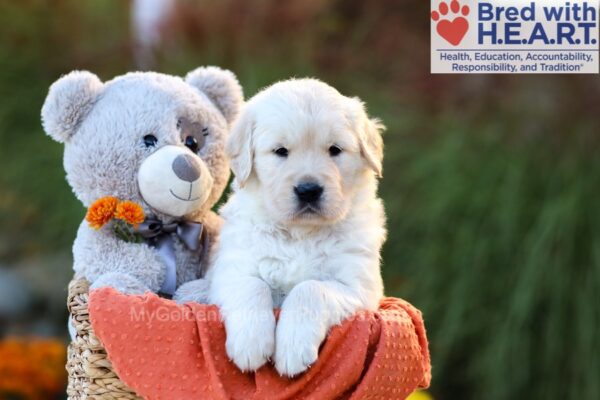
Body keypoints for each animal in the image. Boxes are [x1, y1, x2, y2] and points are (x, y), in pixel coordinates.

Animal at [207, 79, 384, 378]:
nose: (308, 190)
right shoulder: (228, 271)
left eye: (334, 150)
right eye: (281, 151)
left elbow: (310, 288)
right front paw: (250, 343)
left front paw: (292, 348)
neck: (301, 233)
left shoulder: (360, 288)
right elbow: (252, 285)